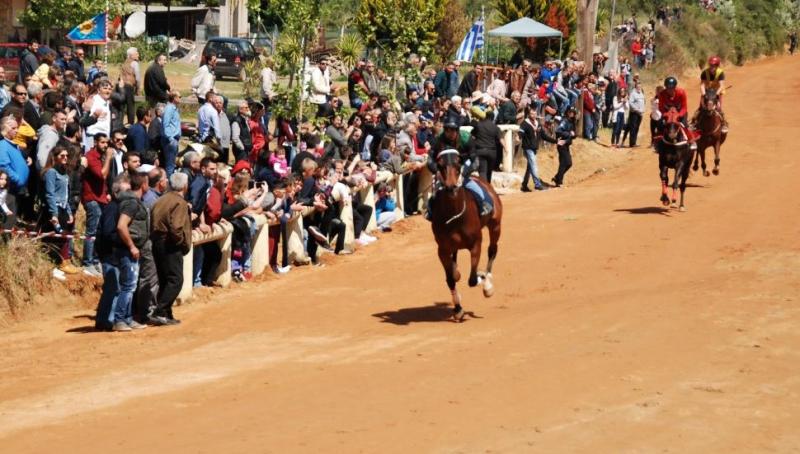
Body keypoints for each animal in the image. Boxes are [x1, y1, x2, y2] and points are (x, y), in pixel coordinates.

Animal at [432, 151, 500, 320]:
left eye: (458, 163)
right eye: (440, 165)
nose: (451, 187)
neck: (455, 214)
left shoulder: (476, 244)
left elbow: (472, 279)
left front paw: (485, 282)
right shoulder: (442, 250)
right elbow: (450, 279)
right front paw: (458, 308)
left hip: (495, 225)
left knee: (492, 250)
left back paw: (487, 279)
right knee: (455, 264)